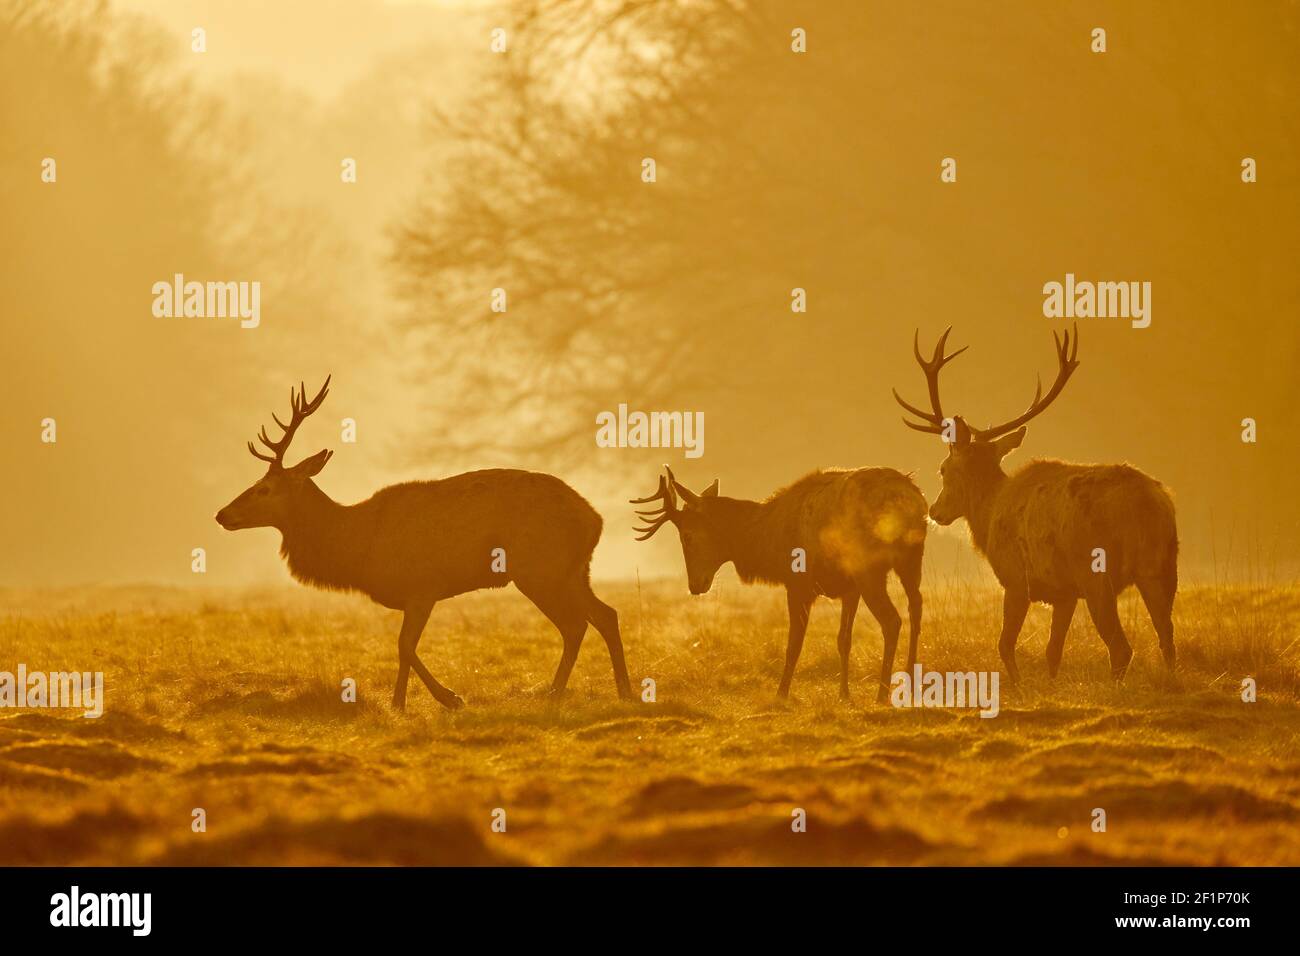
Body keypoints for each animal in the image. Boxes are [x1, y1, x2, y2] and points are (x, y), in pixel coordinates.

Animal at [214, 379, 634, 712]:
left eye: (264, 488)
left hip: (540, 569)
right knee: (606, 614)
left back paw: (555, 692)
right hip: (575, 570)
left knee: (575, 624)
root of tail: (594, 519)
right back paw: (624, 691)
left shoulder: (422, 587)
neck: (357, 545)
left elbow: (404, 646)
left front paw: (445, 699)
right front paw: (402, 703)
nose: (222, 514)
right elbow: (403, 648)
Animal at [631, 463, 930, 702]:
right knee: (916, 607)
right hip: (912, 559)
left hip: (870, 568)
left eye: (688, 535)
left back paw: (882, 693)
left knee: (892, 620)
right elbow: (843, 640)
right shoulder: (849, 587)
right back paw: (910, 682)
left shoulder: (798, 583)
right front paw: (844, 694)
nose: (695, 585)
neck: (766, 540)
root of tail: (910, 498)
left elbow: (793, 643)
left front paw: (781, 692)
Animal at [894, 327, 1180, 681]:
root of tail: (1152, 504)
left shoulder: (1017, 580)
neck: (989, 515)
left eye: (943, 469)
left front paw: (1018, 685)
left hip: (1098, 574)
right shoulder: (1064, 594)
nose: (935, 511)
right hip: (1162, 568)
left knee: (1121, 648)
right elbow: (1052, 652)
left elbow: (1005, 645)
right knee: (1167, 636)